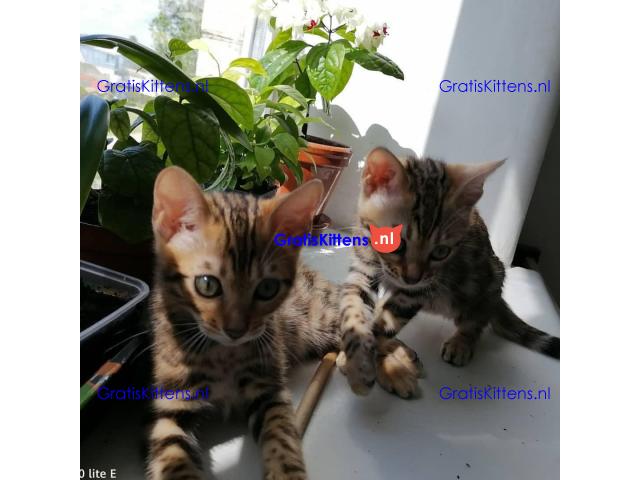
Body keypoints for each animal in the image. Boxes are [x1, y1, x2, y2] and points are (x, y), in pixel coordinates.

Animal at [147, 166, 340, 479]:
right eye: (207, 285)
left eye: (267, 288)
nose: (236, 331)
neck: (222, 354)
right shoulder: (170, 405)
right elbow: (174, 457)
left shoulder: (269, 388)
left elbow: (282, 437)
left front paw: (286, 472)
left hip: (322, 317)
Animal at [336, 147, 560, 398]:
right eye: (394, 243)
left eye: (441, 252)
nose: (412, 278)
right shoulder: (362, 271)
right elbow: (354, 308)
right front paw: (357, 357)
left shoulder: (419, 291)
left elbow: (385, 325)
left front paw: (360, 364)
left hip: (486, 283)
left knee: (476, 320)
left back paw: (460, 343)